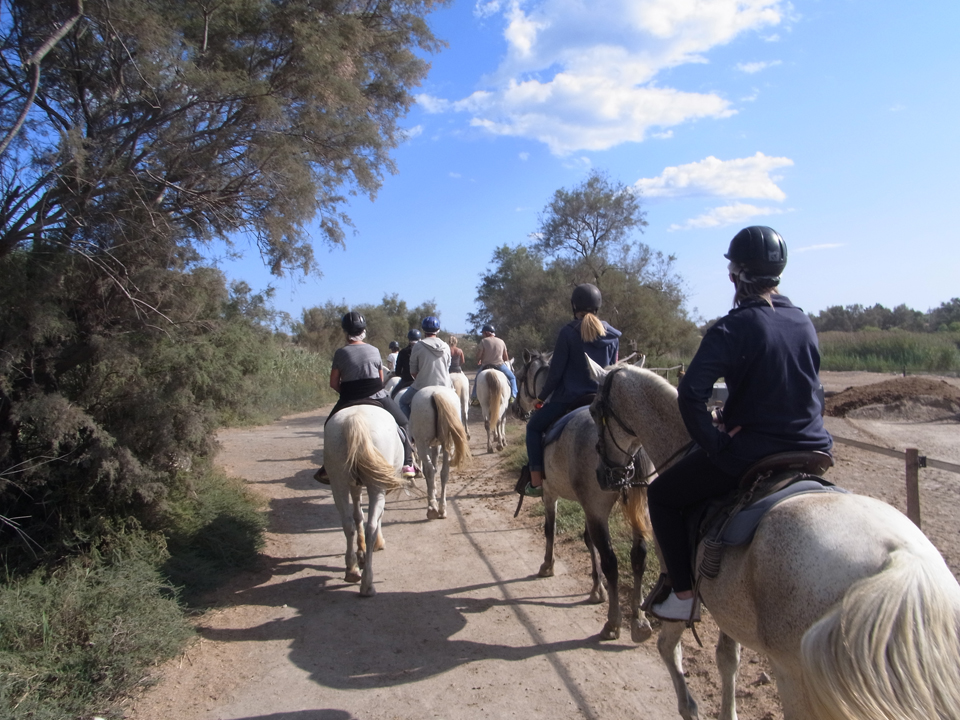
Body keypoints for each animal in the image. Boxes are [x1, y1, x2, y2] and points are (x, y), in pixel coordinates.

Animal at [323, 405, 407, 597]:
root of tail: (355, 418)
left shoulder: (354, 484)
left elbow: (357, 514)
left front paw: (360, 552)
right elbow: (376, 516)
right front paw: (377, 545)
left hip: (338, 481)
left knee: (347, 523)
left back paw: (352, 570)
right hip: (376, 486)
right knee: (371, 527)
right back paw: (367, 585)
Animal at [409, 386, 471, 520]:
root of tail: (435, 394)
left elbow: (428, 468)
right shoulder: (436, 445)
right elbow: (436, 465)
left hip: (422, 444)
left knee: (430, 470)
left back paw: (432, 508)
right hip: (448, 444)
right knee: (444, 473)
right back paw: (442, 508)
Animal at [514, 350, 655, 642]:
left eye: (520, 376)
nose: (515, 408)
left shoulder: (552, 494)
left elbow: (550, 529)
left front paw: (548, 565)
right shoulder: (588, 506)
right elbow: (588, 540)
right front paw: (596, 589)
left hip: (596, 508)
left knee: (612, 561)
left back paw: (613, 623)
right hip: (639, 509)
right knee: (639, 556)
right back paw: (639, 621)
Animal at [585, 358, 960, 720]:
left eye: (593, 409)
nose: (604, 475)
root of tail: (902, 560)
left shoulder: (680, 585)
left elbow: (669, 647)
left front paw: (688, 707)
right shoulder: (727, 605)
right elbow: (727, 659)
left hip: (794, 676)